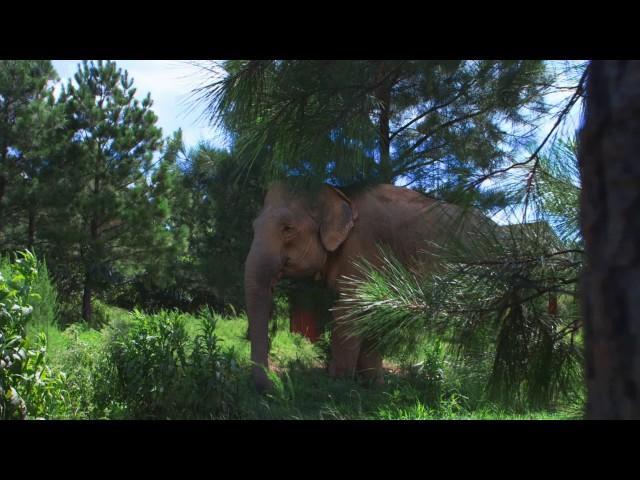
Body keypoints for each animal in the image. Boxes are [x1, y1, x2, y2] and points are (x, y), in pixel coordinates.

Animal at [244, 180, 490, 390]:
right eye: (253, 226)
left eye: (287, 228)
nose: (273, 385)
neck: (341, 192)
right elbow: (373, 313)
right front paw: (374, 386)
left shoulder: (365, 249)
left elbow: (348, 312)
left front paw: (337, 386)